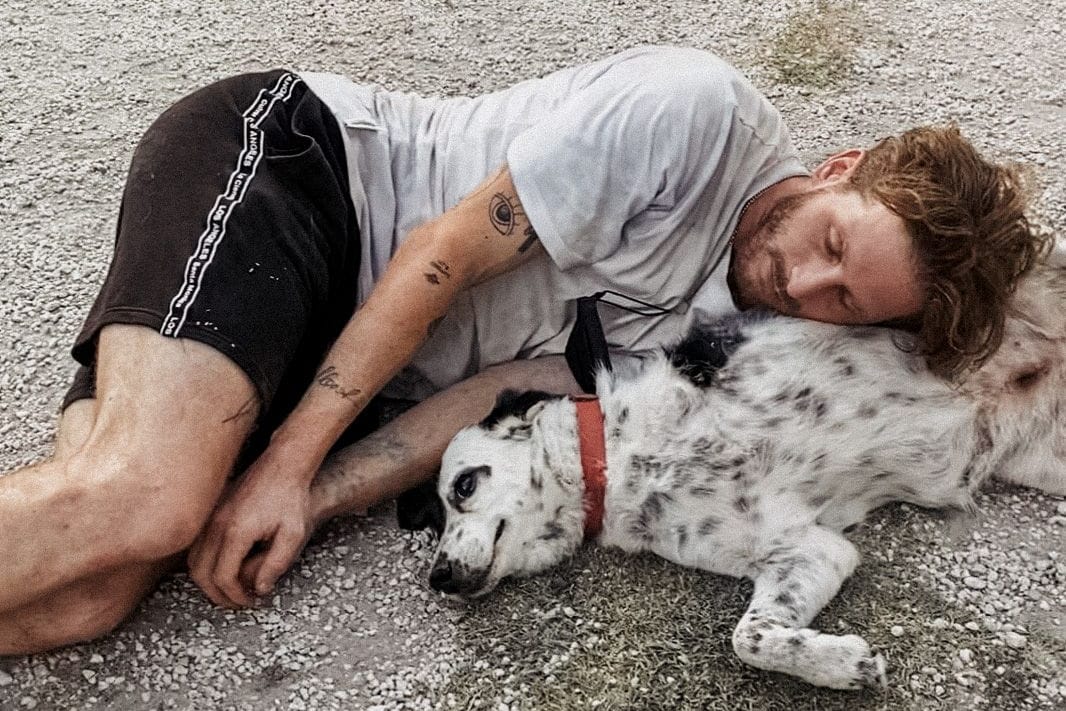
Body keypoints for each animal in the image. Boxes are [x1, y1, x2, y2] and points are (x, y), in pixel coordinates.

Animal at [420, 263, 1061, 690]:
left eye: (464, 486)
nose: (439, 577)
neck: (619, 458)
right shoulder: (808, 549)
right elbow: (748, 638)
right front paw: (842, 665)